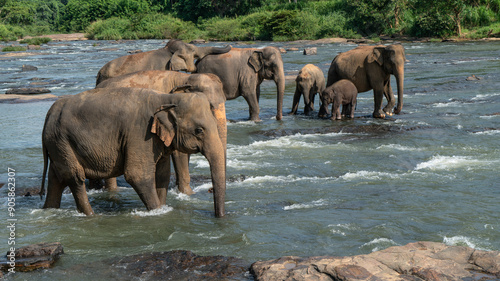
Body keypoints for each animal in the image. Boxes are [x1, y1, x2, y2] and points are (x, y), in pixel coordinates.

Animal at [41, 87, 227, 217]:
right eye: (199, 130)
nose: (219, 217)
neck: (167, 98)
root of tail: (49, 114)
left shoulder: (157, 141)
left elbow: (162, 176)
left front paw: (163, 207)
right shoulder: (139, 134)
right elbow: (138, 175)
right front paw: (157, 211)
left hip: (58, 145)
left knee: (56, 178)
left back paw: (49, 210)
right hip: (62, 141)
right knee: (76, 178)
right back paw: (91, 215)